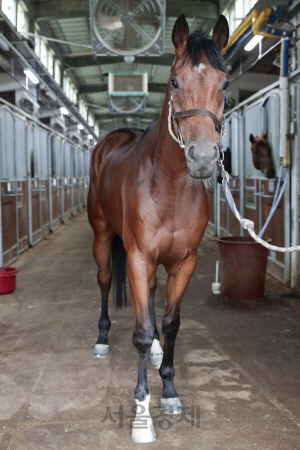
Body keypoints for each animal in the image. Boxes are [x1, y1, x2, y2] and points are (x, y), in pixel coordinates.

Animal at [88, 13, 229, 442]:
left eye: (225, 83)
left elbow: (169, 324)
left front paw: (168, 391)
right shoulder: (137, 257)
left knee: (150, 297)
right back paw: (102, 339)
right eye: (174, 82)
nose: (203, 159)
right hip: (103, 236)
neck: (167, 187)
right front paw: (141, 415)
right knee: (105, 281)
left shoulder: (184, 261)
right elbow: (139, 331)